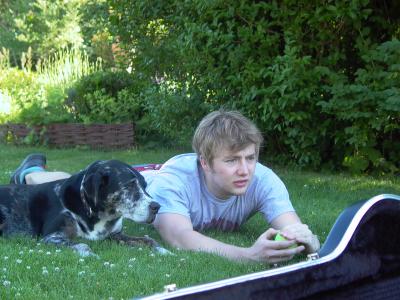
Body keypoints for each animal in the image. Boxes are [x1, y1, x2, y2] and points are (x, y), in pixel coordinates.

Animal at [0, 161, 169, 256]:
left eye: (145, 185)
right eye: (129, 185)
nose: (157, 207)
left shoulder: (114, 235)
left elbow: (149, 240)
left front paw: (165, 251)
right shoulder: (52, 237)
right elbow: (83, 244)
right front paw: (91, 255)